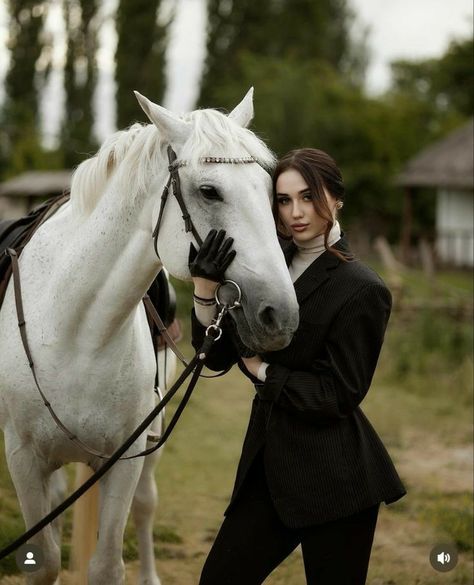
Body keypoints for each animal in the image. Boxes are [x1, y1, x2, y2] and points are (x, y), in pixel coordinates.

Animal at [0, 88, 296, 584]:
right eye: (209, 191)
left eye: (268, 190)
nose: (282, 315)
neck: (74, 333)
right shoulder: (22, 457)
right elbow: (43, 561)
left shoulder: (127, 457)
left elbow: (106, 565)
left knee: (145, 504)